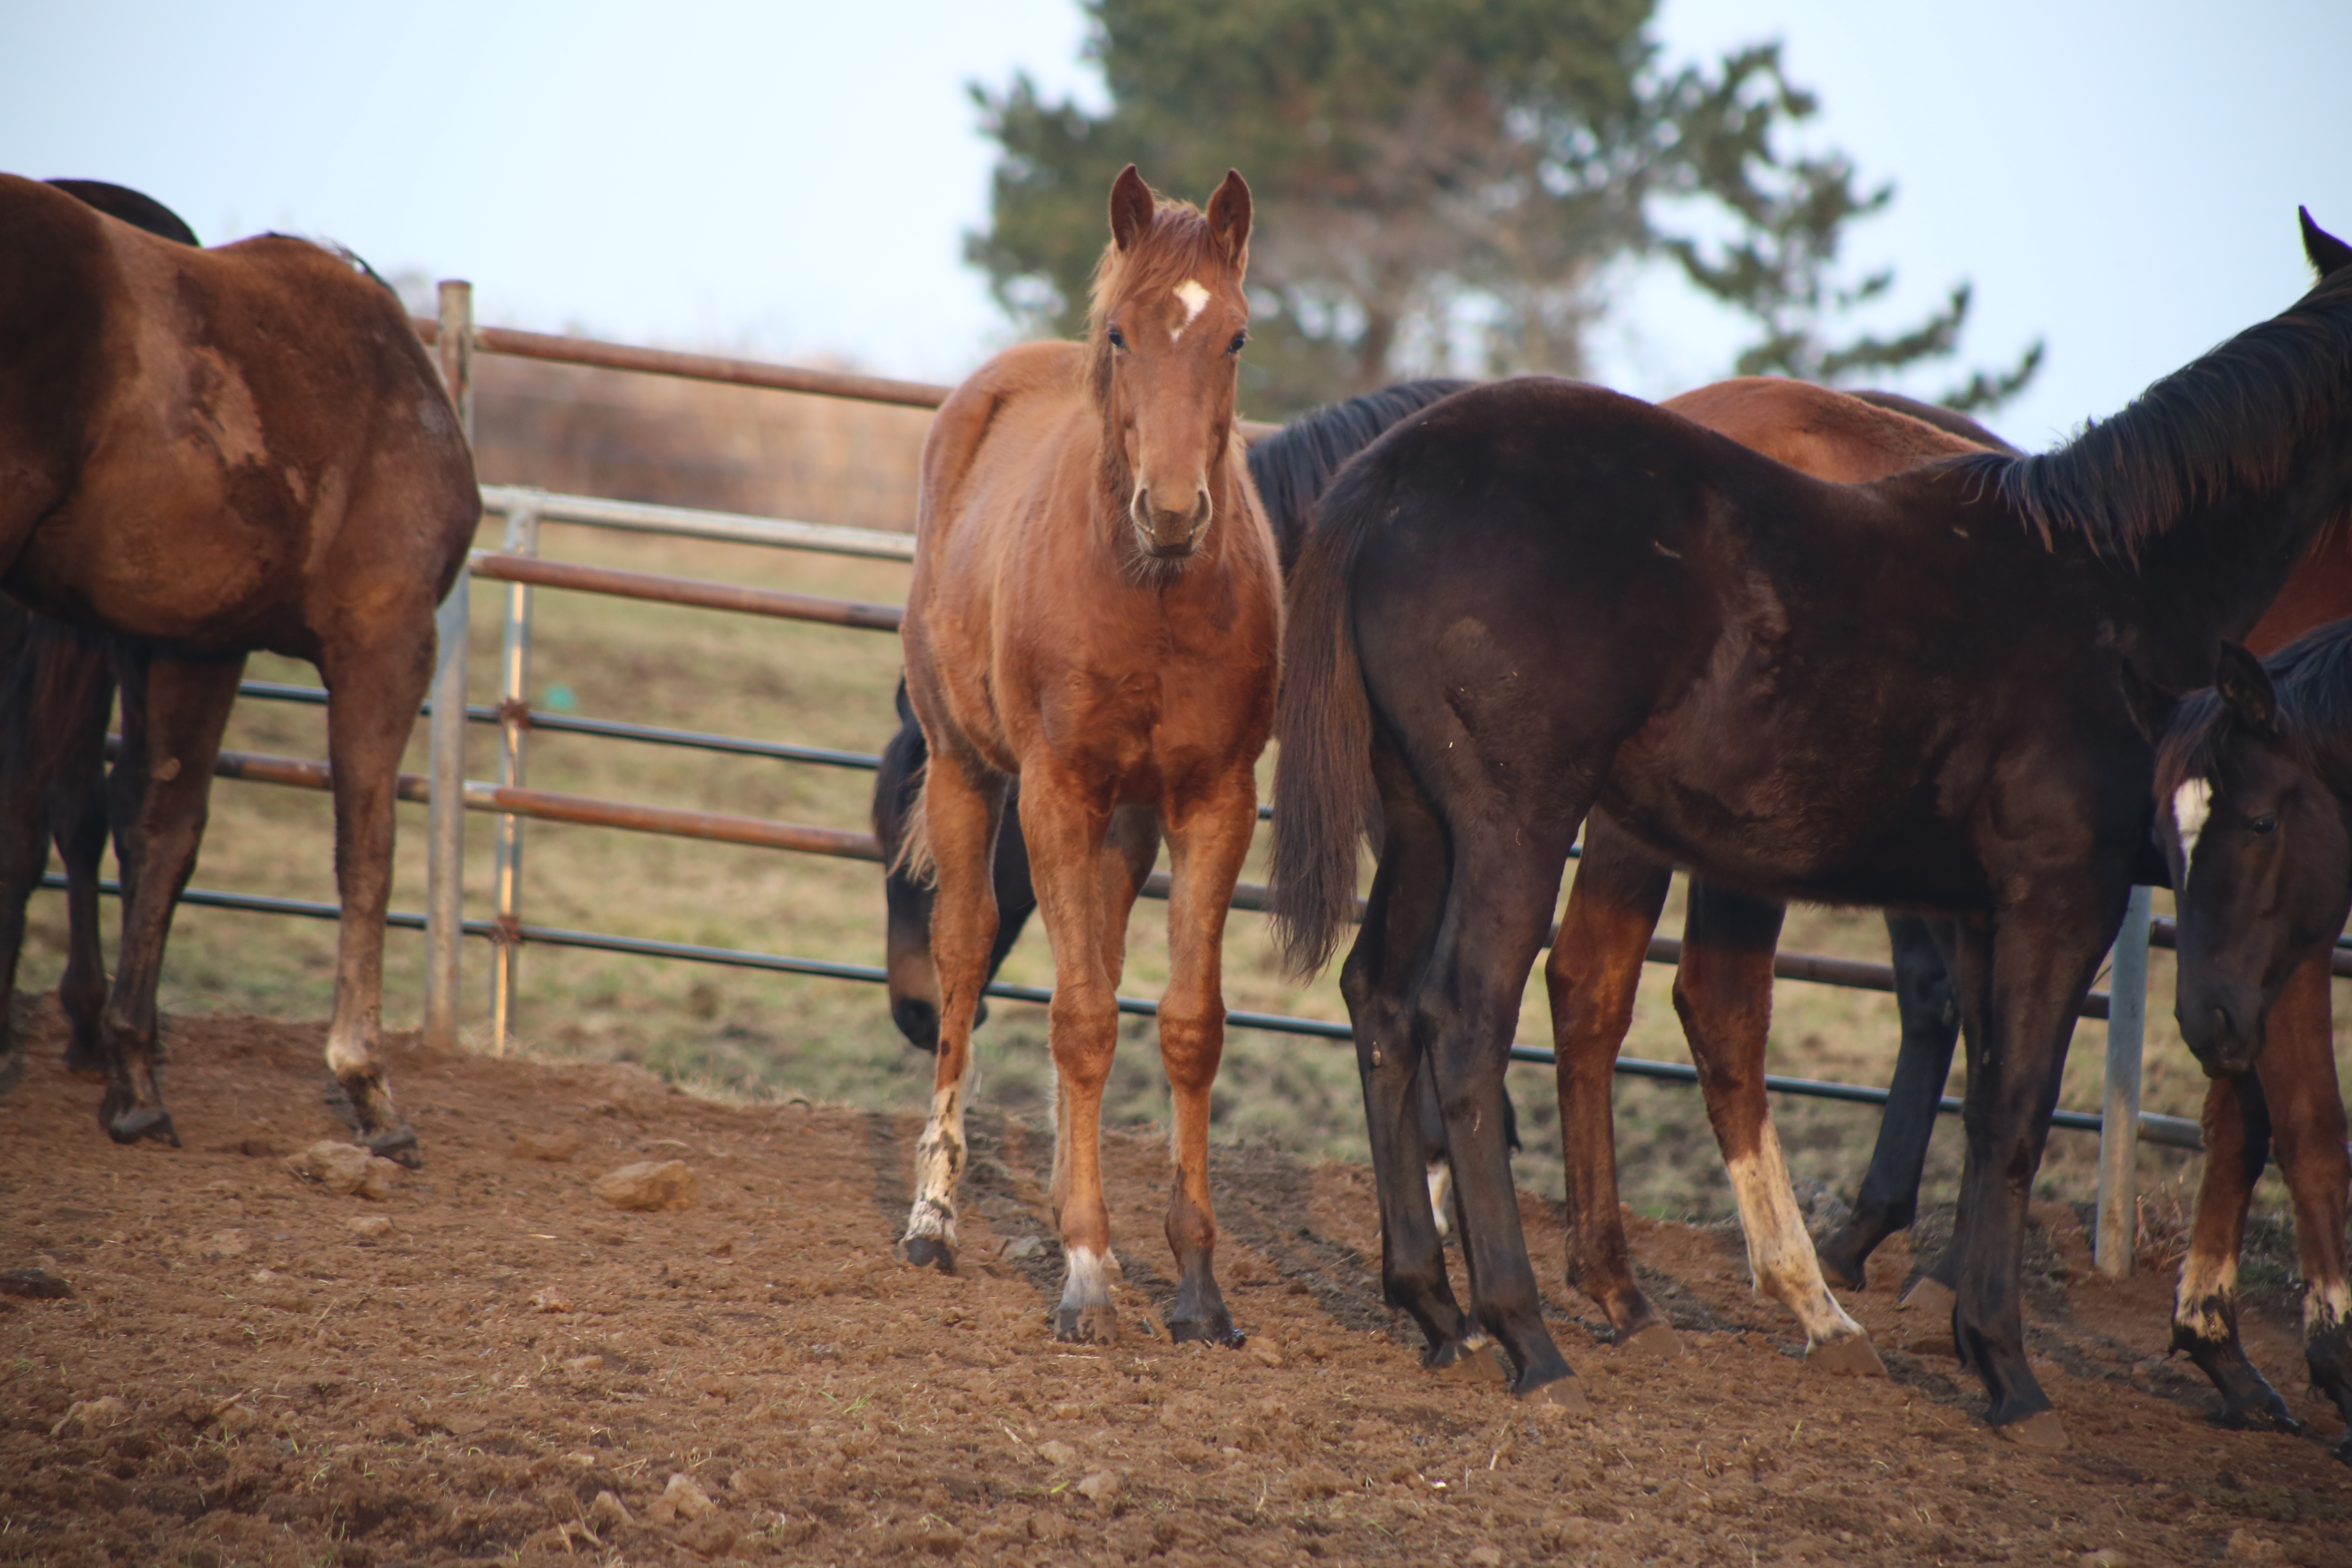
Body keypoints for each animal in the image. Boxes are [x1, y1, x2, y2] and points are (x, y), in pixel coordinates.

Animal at [0, 175, 477, 1166]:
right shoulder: (388, 638)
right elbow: (367, 850)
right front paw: (368, 1086)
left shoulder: (192, 639)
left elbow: (163, 833)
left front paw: (134, 1081)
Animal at [893, 172, 1279, 1354]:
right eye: (1120, 334)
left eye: (1235, 337)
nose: (1173, 509)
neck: (1148, 594)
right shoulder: (1055, 790)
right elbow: (1073, 1018)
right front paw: (1085, 1275)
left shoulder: (1212, 802)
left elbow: (1180, 1025)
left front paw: (1195, 1285)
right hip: (968, 772)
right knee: (966, 955)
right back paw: (934, 1217)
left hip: (1124, 823)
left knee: (1095, 967)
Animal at [1279, 212, 2352, 1448]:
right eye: (2256, 817)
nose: (2211, 1017)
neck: (2111, 580)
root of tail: (1386, 474)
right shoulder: (2064, 896)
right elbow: (2033, 1110)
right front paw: (2015, 1365)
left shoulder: (1984, 910)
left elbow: (1988, 1097)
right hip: (1518, 829)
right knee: (1473, 1020)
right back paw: (1532, 1329)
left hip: (1424, 826)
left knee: (1383, 1003)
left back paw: (1439, 1303)